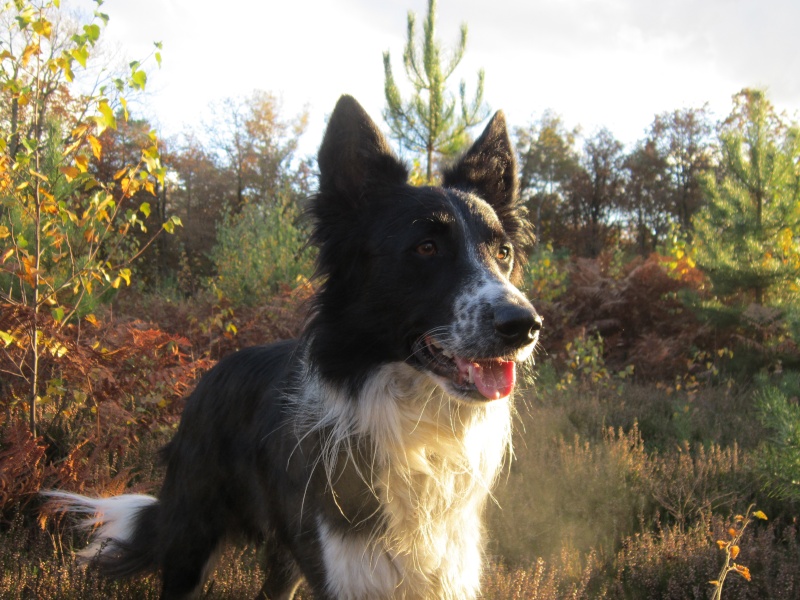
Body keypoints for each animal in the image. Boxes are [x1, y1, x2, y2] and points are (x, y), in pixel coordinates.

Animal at [45, 96, 544, 596]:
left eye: (503, 253)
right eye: (426, 248)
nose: (525, 325)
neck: (416, 427)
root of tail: (210, 374)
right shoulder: (343, 570)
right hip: (193, 537)